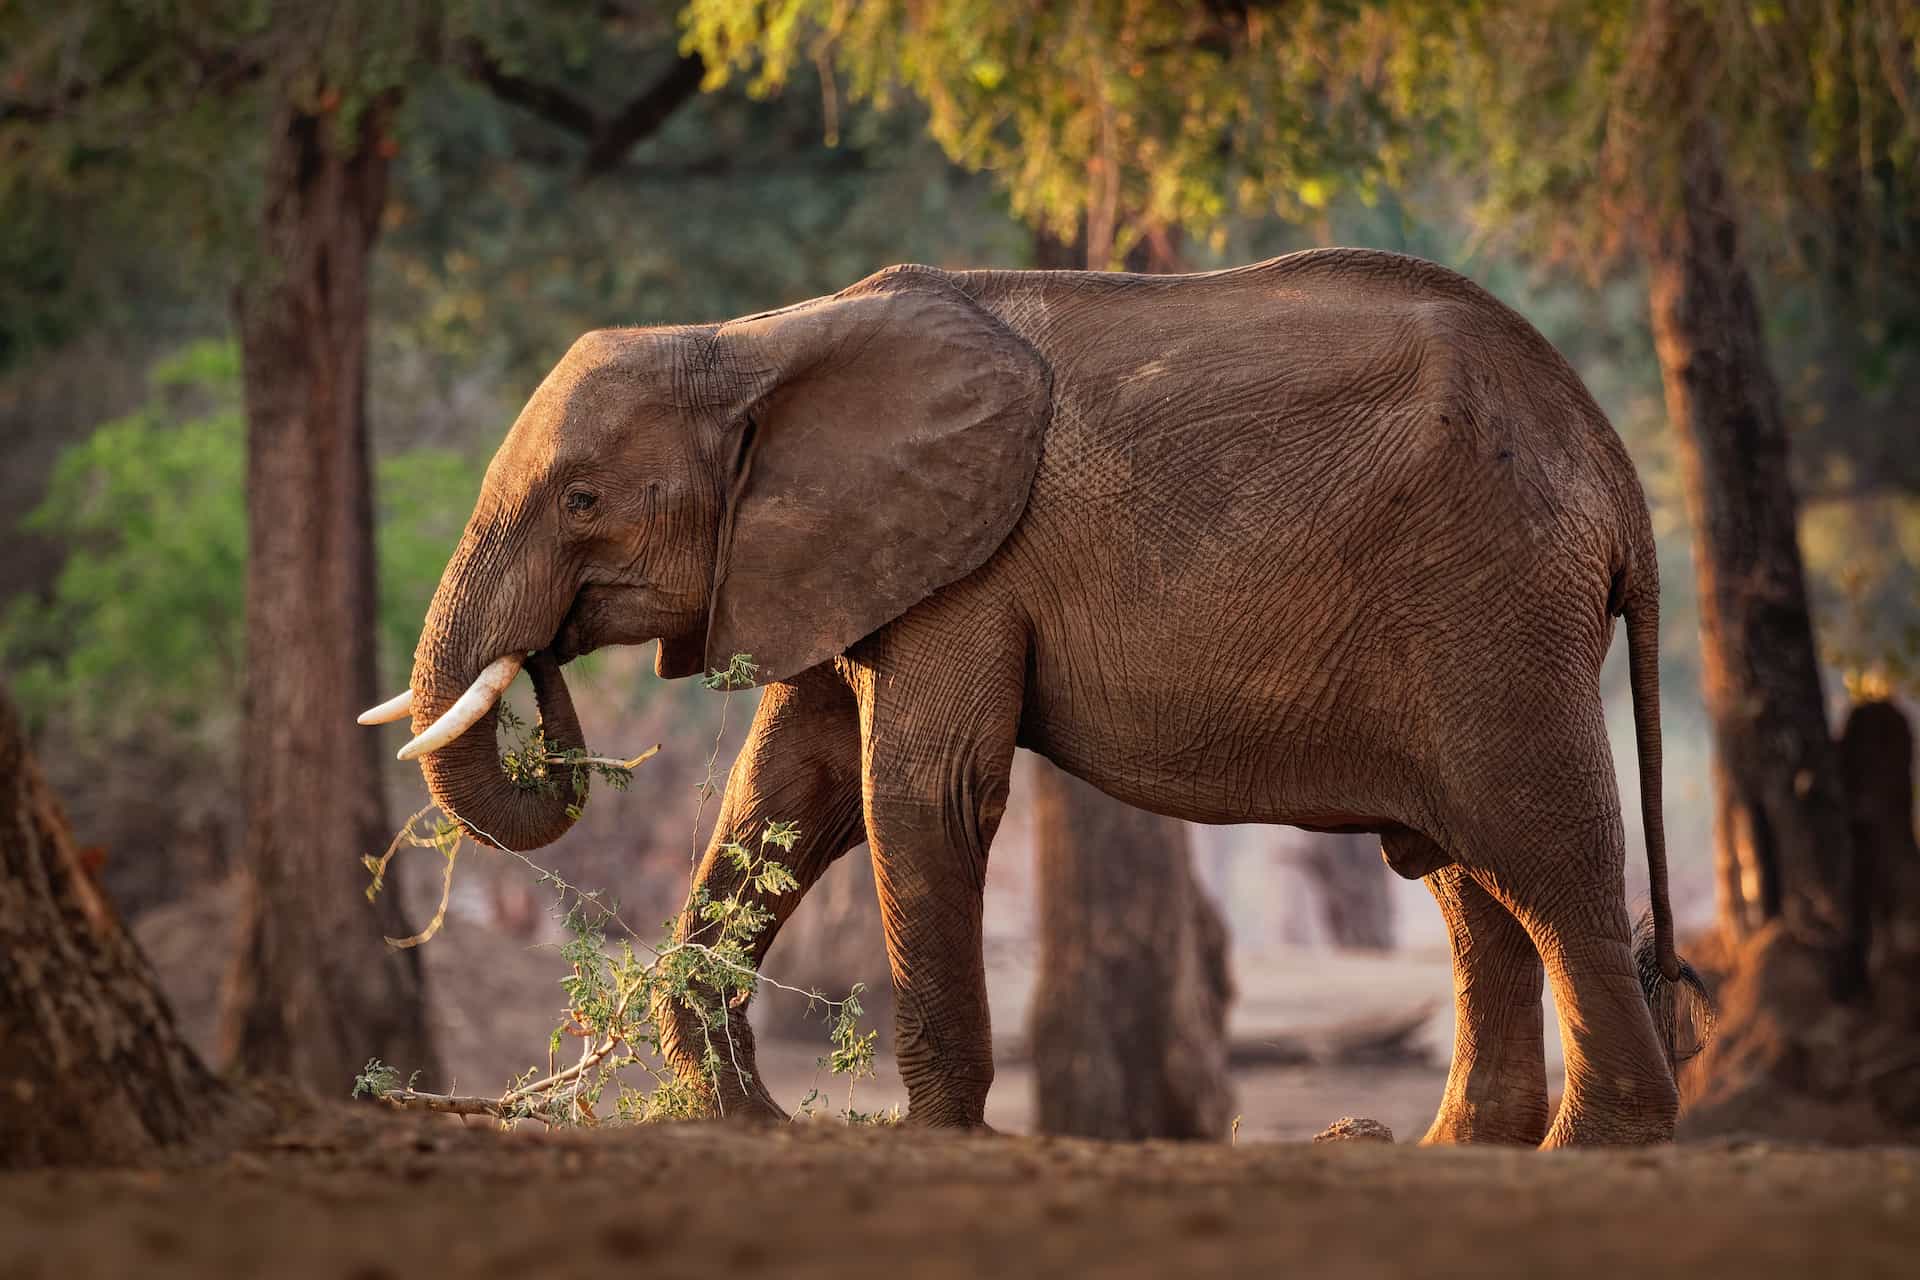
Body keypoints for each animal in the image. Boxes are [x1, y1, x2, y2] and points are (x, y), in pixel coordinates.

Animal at [362, 249, 1712, 1151]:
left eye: (583, 500)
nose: (545, 671)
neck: (757, 340)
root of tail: (1616, 476)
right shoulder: (843, 550)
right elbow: (789, 790)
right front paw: (740, 1119)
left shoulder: (969, 562)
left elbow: (918, 793)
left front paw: (929, 1138)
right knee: (1463, 877)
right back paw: (1450, 1149)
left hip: (1495, 605)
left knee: (1541, 854)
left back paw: (1593, 1147)